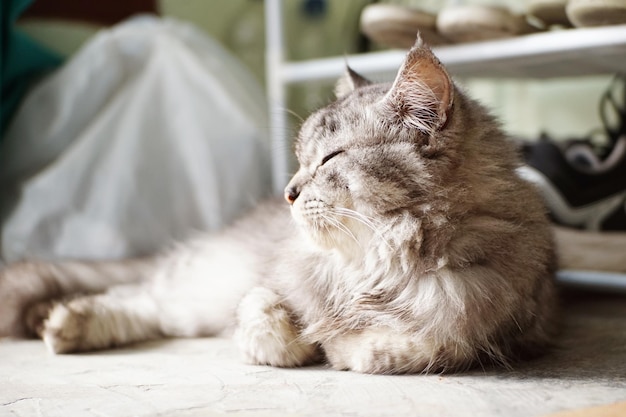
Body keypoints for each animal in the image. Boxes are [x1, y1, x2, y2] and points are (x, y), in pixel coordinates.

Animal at [0, 36, 556, 374]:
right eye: (300, 159)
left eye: (329, 158)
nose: (288, 192)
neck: (375, 265)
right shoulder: (270, 282)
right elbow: (268, 320)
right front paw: (302, 342)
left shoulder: (503, 327)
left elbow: (417, 349)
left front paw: (343, 347)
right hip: (199, 286)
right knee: (136, 296)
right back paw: (61, 324)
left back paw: (59, 325)